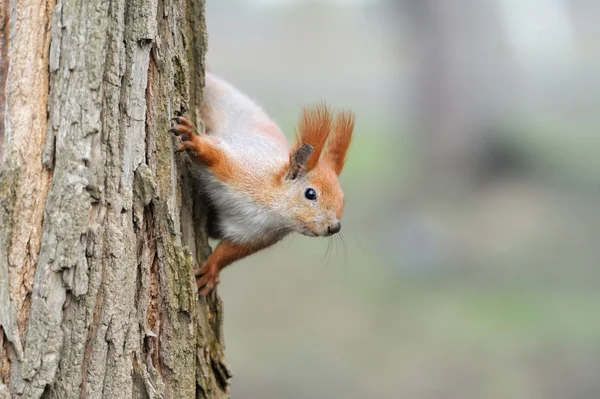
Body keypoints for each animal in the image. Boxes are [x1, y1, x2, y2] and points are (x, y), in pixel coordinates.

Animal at [169, 72, 354, 298]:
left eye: (343, 199)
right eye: (310, 194)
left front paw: (212, 270)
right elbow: (217, 156)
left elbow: (229, 251)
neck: (272, 211)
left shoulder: (254, 235)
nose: (334, 227)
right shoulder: (244, 168)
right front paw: (194, 141)